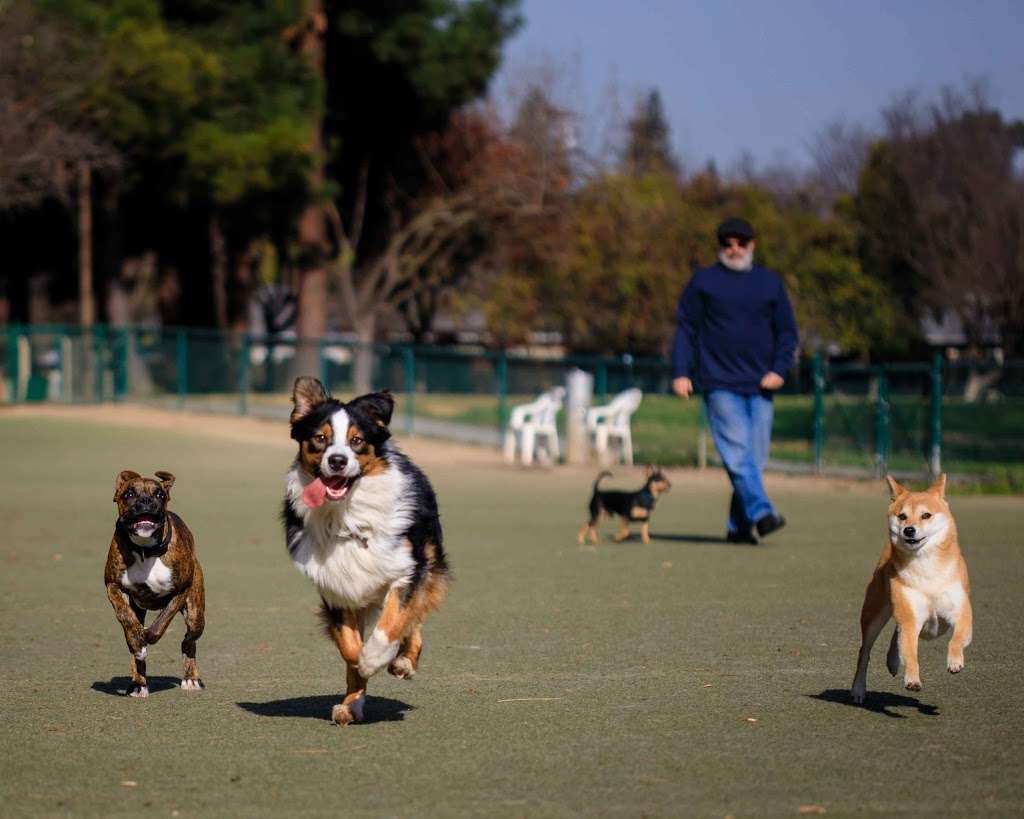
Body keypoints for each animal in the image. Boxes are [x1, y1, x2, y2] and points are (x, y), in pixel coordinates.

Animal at [104, 470, 206, 696]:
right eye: (129, 494)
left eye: (159, 494)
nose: (146, 500)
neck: (145, 550)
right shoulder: (112, 586)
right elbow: (125, 617)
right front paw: (137, 643)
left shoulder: (180, 591)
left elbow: (161, 622)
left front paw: (148, 636)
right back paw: (138, 683)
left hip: (196, 614)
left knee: (189, 640)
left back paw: (191, 678)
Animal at [284, 376, 452, 724]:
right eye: (320, 438)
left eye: (357, 441)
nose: (337, 460)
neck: (347, 516)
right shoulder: (336, 587)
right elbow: (349, 648)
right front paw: (355, 688)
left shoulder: (406, 571)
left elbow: (392, 624)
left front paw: (375, 658)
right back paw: (353, 703)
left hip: (429, 562)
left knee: (415, 617)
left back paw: (403, 661)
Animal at [851, 472, 970, 704]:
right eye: (902, 516)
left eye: (926, 515)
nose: (909, 530)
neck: (926, 567)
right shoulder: (911, 614)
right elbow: (910, 652)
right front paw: (912, 679)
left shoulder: (960, 610)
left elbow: (958, 637)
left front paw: (954, 661)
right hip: (875, 614)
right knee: (865, 652)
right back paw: (859, 689)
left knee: (896, 633)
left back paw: (892, 660)